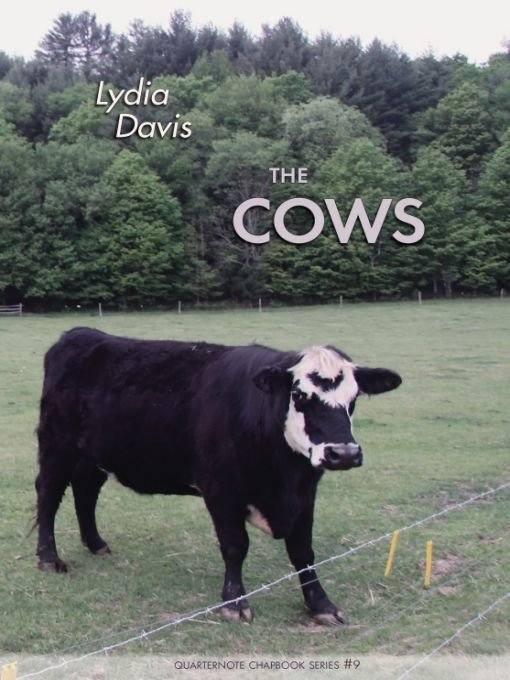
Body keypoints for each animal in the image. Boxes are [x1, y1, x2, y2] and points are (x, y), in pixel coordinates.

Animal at [35, 327, 401, 625]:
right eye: (299, 394)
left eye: (353, 398)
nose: (344, 453)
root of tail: (78, 335)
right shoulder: (221, 490)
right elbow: (235, 546)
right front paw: (234, 602)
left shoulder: (304, 493)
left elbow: (303, 551)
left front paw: (321, 605)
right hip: (57, 445)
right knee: (48, 494)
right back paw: (49, 558)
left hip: (92, 456)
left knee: (85, 491)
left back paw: (95, 543)